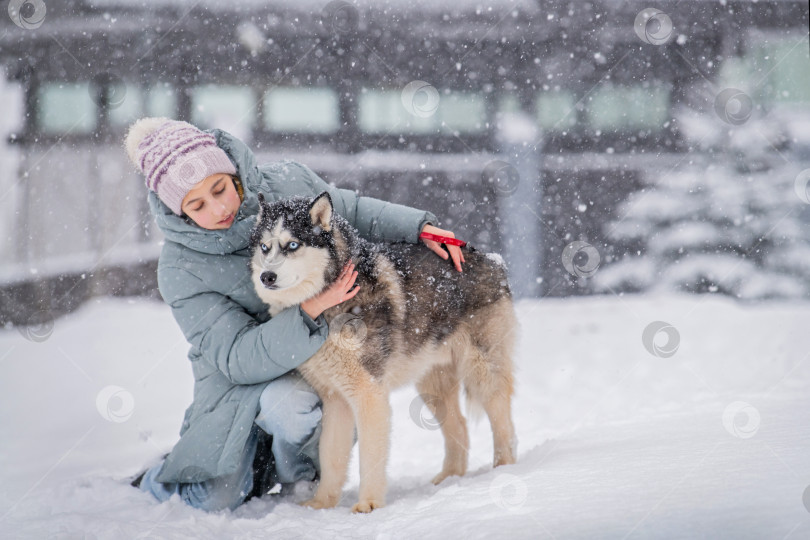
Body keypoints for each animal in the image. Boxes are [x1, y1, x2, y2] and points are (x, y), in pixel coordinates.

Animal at [246, 192, 516, 512]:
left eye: (292, 245)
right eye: (265, 247)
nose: (267, 276)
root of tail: (490, 257)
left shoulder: (369, 394)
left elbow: (369, 457)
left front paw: (369, 505)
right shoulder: (336, 399)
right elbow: (331, 456)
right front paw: (322, 503)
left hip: (482, 371)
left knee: (503, 421)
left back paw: (503, 470)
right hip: (431, 385)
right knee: (459, 426)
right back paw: (448, 480)